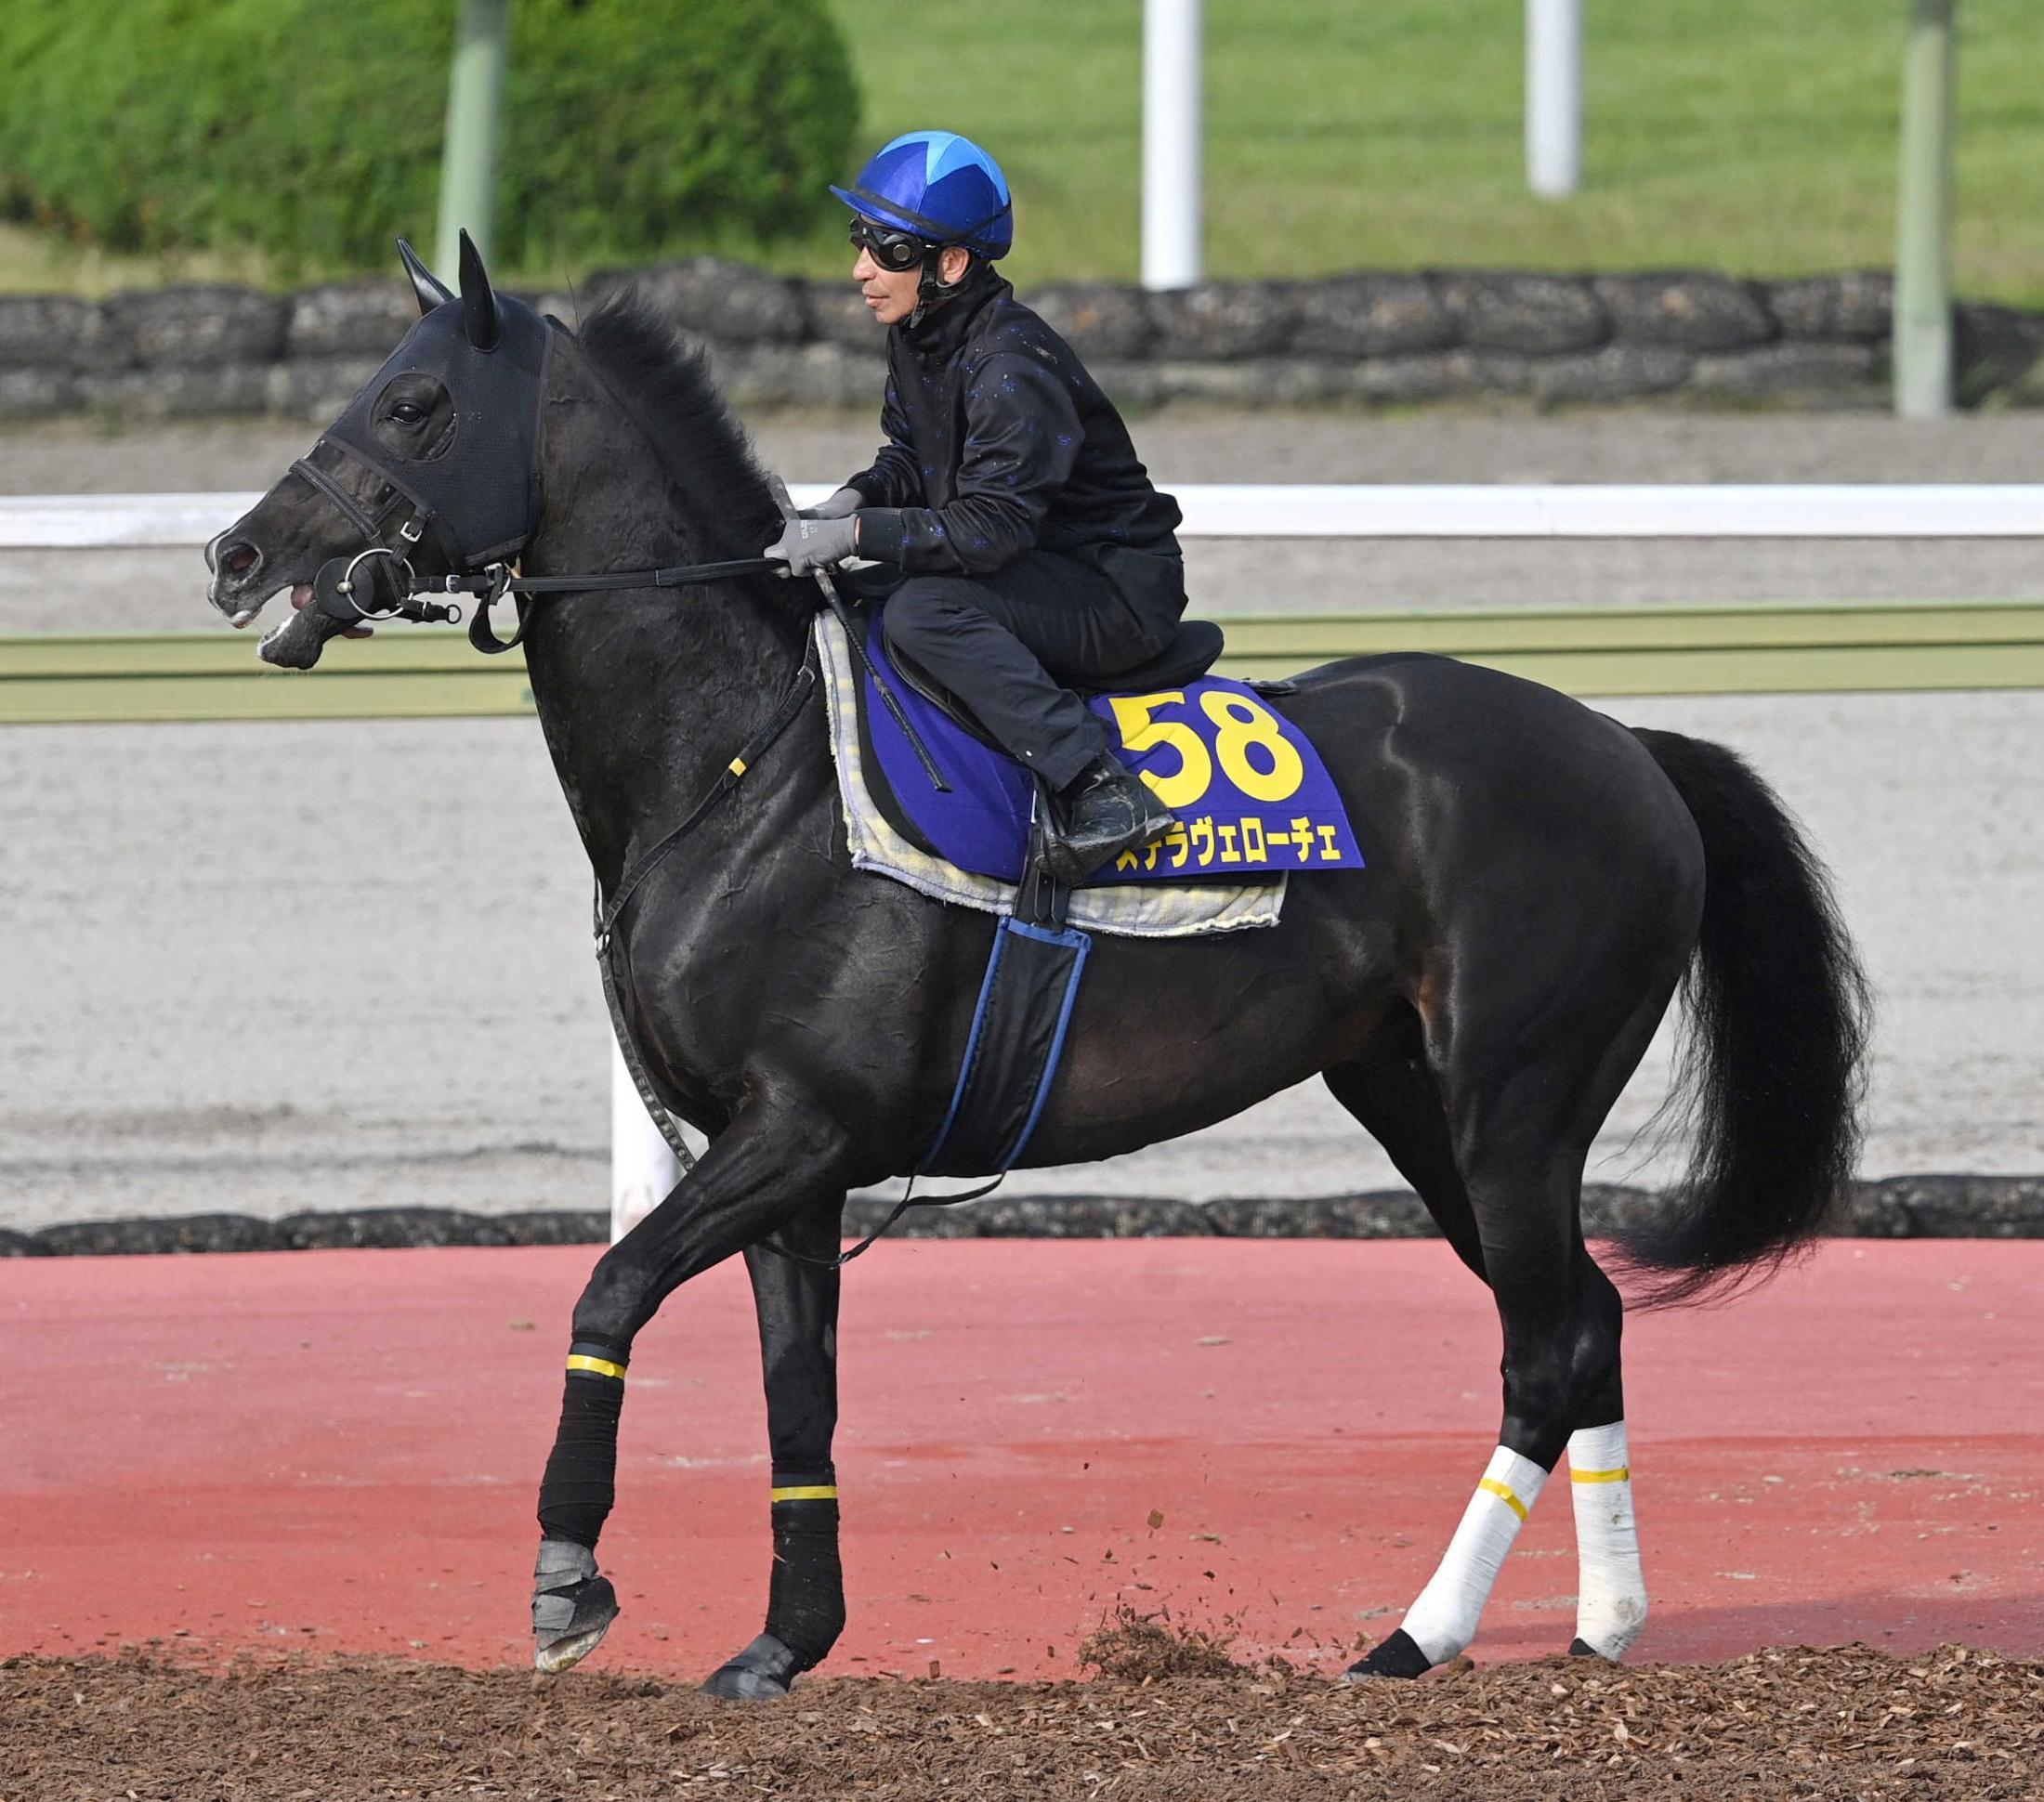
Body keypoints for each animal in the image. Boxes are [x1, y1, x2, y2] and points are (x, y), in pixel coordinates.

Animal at [203, 242, 1872, 1700]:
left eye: (413, 402)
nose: (236, 552)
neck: (744, 763)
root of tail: (1633, 751)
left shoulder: (799, 1127)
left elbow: (608, 1290)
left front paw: (567, 1580)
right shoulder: (787, 1167)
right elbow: (795, 1397)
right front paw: (785, 1642)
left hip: (1514, 1103)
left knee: (1546, 1346)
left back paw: (1418, 1636)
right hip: (1418, 1098)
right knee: (1585, 1326)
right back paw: (1601, 1623)